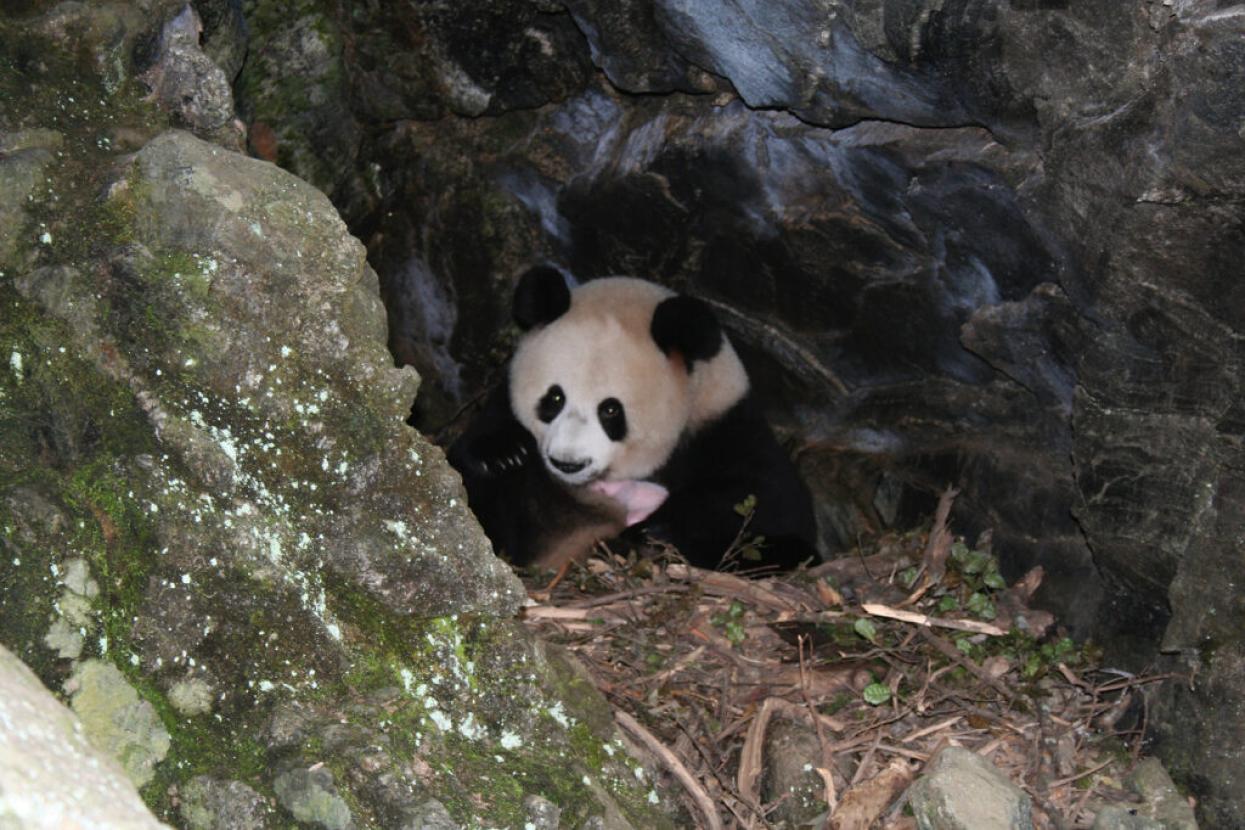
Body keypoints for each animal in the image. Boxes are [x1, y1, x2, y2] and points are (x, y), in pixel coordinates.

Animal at [448, 266, 818, 572]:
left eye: (611, 410)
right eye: (554, 398)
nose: (568, 463)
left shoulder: (727, 427)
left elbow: (767, 503)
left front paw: (658, 527)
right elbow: (470, 474)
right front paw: (504, 454)